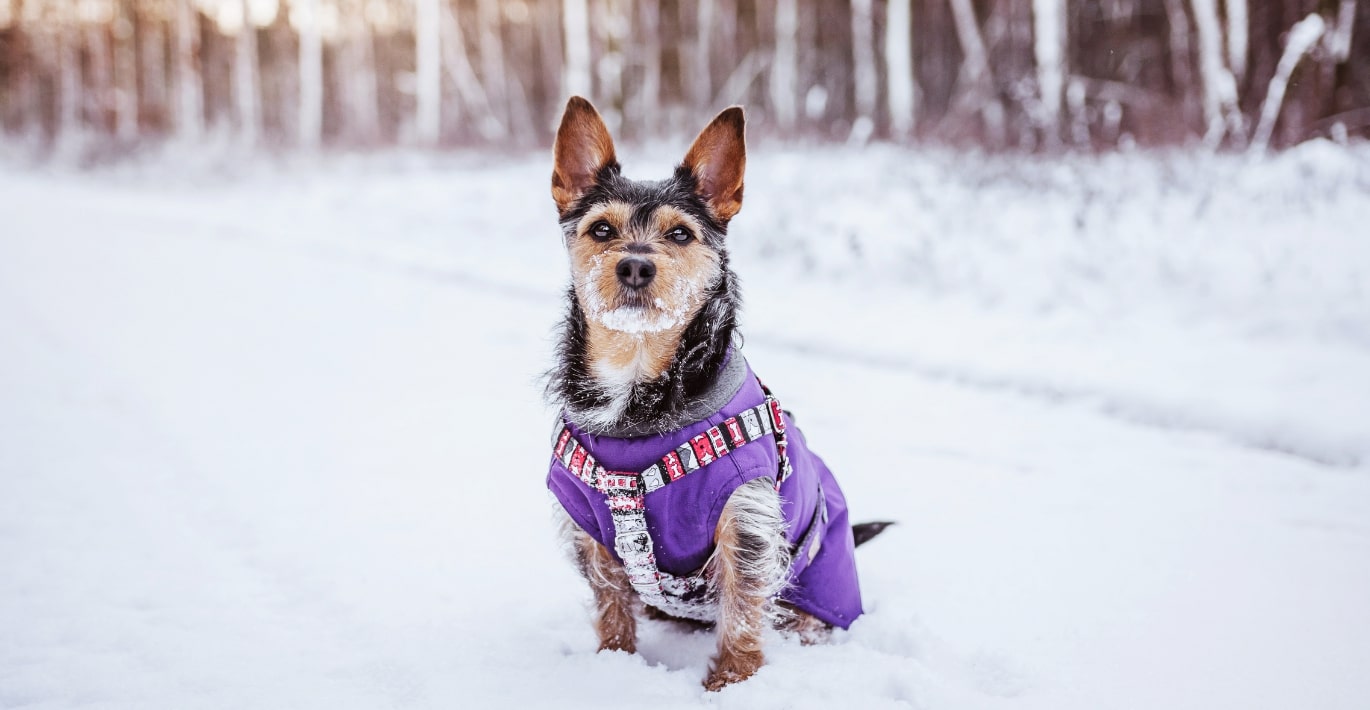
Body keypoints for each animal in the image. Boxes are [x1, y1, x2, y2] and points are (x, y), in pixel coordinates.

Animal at [542, 97, 887, 693]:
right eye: (601, 228)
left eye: (681, 235)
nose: (635, 264)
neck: (640, 398)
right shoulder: (590, 524)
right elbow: (611, 604)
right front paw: (615, 663)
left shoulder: (745, 520)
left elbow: (743, 611)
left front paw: (732, 683)